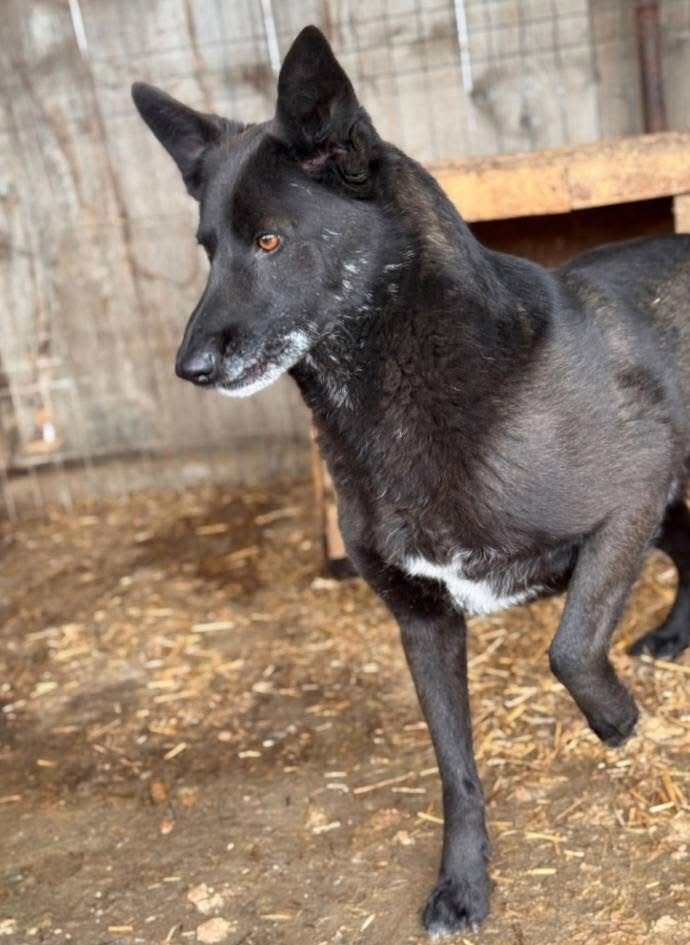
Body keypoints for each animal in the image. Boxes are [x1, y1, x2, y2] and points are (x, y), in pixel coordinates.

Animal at [132, 25, 690, 937]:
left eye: (271, 240)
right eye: (209, 250)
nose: (190, 368)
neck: (391, 402)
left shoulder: (629, 495)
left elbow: (570, 646)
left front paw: (616, 721)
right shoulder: (422, 621)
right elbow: (455, 771)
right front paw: (463, 883)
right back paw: (674, 636)